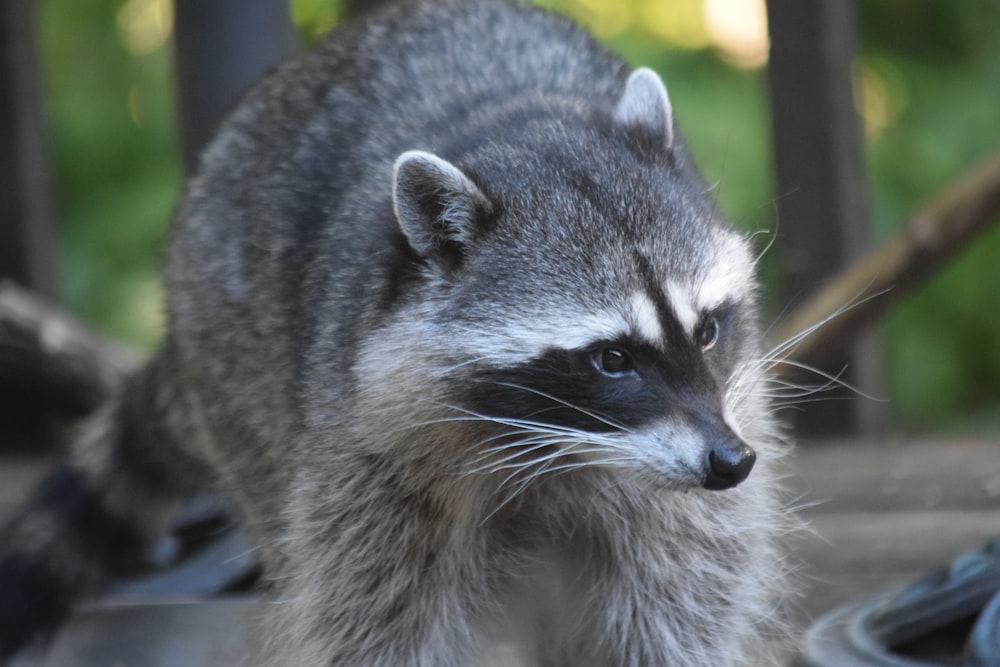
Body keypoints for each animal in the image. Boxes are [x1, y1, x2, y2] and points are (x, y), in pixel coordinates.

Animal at [0, 1, 788, 667]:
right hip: (234, 368)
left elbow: (681, 601)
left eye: (707, 329)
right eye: (613, 358)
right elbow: (371, 619)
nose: (730, 461)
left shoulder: (694, 468)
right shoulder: (366, 457)